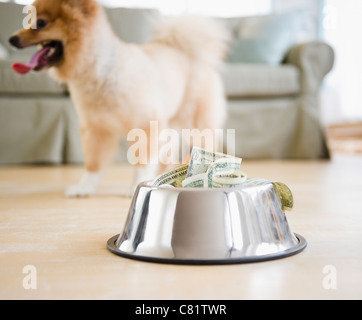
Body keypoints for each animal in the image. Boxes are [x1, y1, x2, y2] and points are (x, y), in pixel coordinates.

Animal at [9, 0, 229, 196]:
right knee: (167, 155)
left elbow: (143, 160)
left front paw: (135, 187)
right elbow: (93, 163)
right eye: (28, 21)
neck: (97, 73)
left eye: (40, 23)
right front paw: (84, 187)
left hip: (195, 123)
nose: (12, 39)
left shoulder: (146, 126)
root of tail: (185, 51)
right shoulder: (96, 129)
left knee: (206, 145)